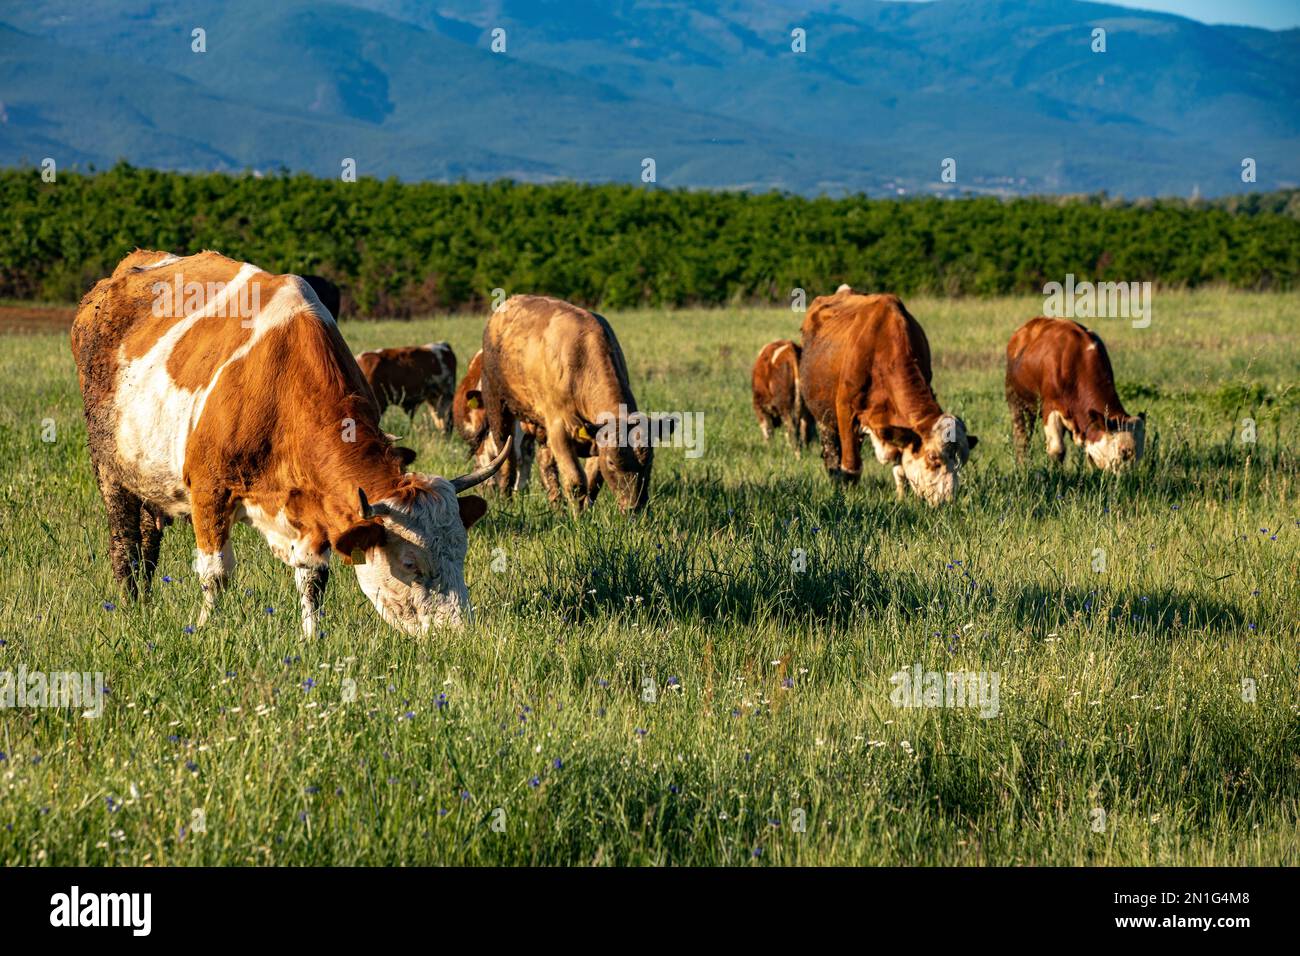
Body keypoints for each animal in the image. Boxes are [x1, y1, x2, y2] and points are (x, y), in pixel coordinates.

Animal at [70, 250, 509, 638]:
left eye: (461, 553)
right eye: (410, 564)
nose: (458, 633)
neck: (284, 384)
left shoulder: (315, 509)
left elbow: (313, 579)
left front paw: (312, 639)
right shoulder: (209, 490)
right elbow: (216, 573)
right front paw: (204, 629)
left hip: (147, 477)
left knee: (147, 540)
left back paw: (144, 601)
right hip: (109, 469)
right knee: (125, 543)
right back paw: (130, 605)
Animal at [479, 295, 673, 512]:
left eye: (649, 460)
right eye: (612, 462)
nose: (634, 507)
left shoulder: (596, 436)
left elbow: (593, 481)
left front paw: (586, 510)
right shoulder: (559, 428)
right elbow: (576, 481)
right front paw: (579, 517)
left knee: (546, 462)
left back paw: (556, 506)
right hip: (495, 399)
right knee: (506, 456)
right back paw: (506, 501)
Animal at [799, 288, 978, 504]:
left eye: (962, 461)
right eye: (933, 458)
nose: (948, 500)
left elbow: (901, 468)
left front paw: (901, 497)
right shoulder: (846, 411)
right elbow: (852, 467)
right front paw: (848, 496)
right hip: (824, 418)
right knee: (832, 454)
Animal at [1005, 316, 1146, 471]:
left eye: (1139, 456)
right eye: (1123, 453)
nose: (1130, 477)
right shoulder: (1050, 408)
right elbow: (1057, 450)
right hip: (1014, 399)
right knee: (1022, 438)